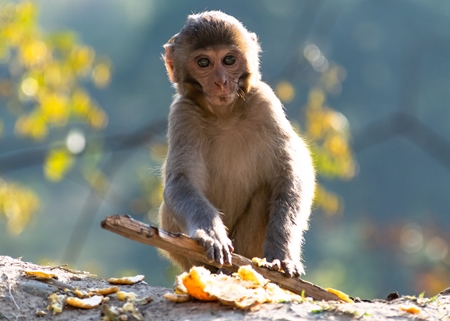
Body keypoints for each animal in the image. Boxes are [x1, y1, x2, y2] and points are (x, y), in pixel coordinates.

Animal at [158, 11, 316, 276]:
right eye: (204, 63)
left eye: (229, 60)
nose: (221, 82)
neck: (225, 115)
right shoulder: (182, 114)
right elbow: (181, 181)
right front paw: (211, 232)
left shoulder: (265, 102)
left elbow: (291, 173)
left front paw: (282, 251)